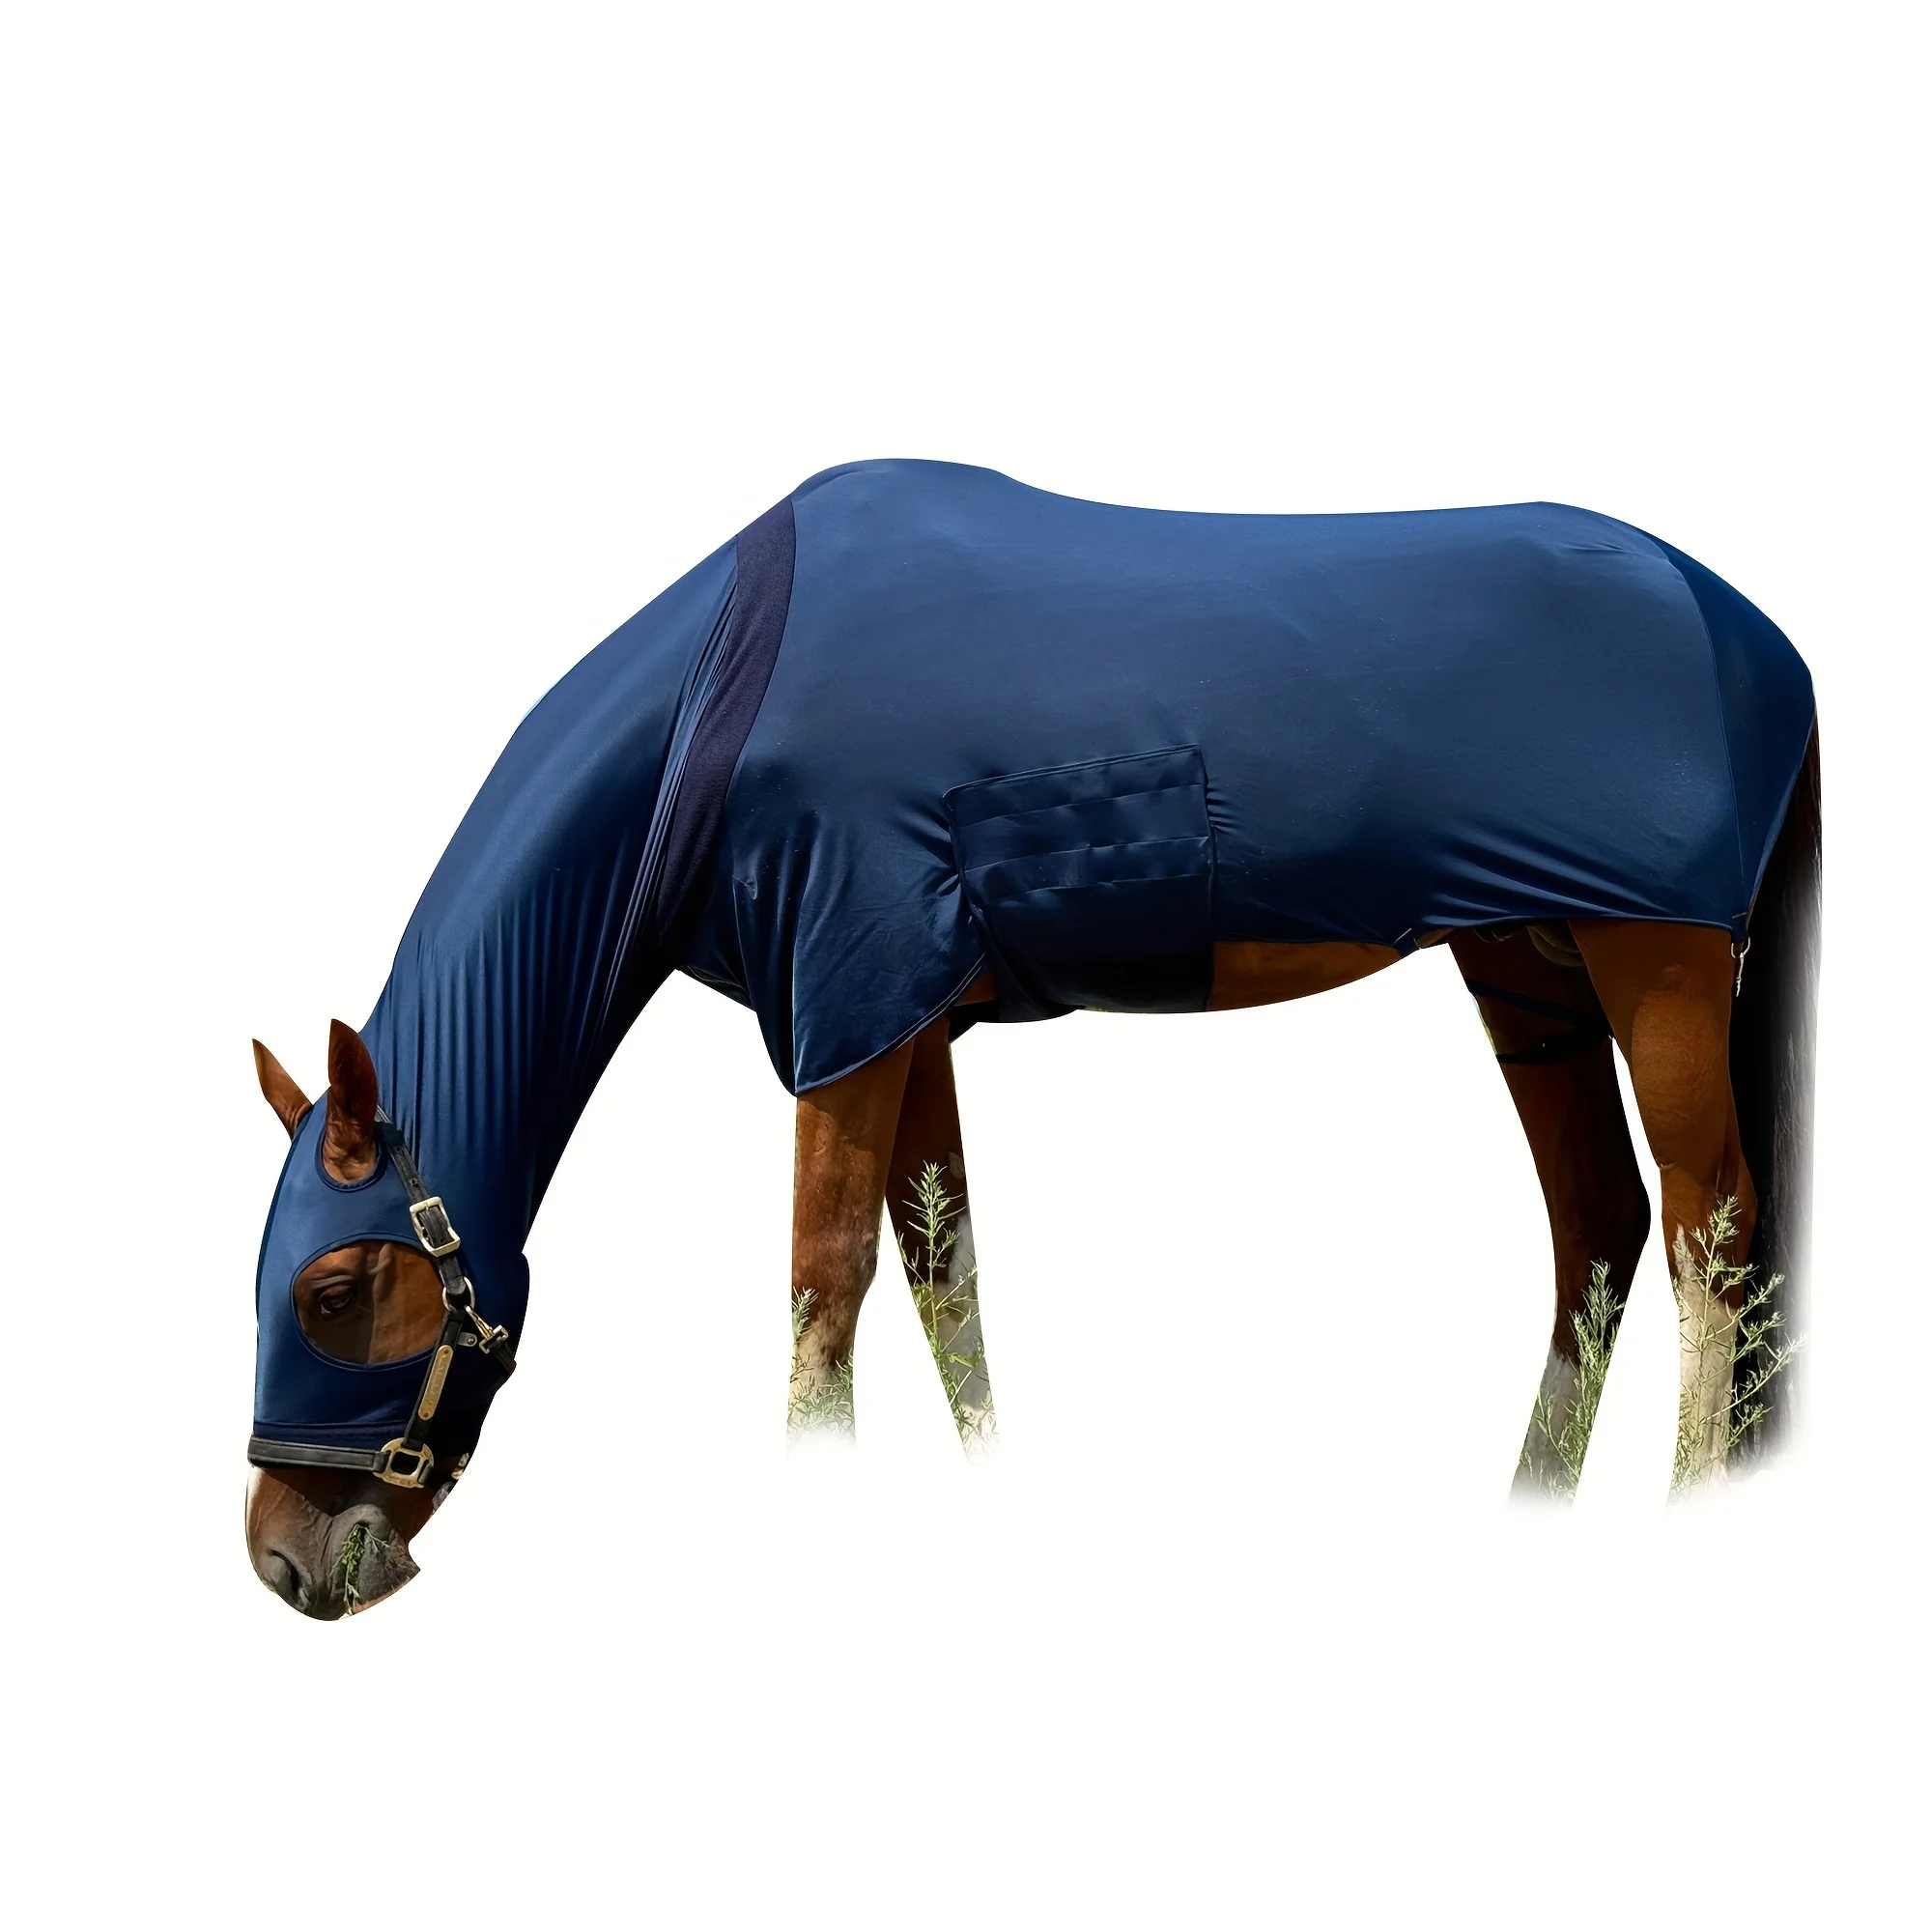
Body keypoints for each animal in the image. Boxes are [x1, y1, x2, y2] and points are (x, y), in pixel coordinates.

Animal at [245, 460, 1820, 1618]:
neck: (720, 704)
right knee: (1598, 1227)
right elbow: (943, 1277)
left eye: (331, 1290)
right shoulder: (906, 1025)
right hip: (1524, 969)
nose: (282, 1560)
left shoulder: (848, 1006)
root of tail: (1748, 633)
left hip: (1659, 965)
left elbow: (825, 1284)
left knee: (1710, 1234)